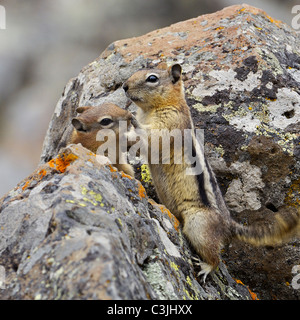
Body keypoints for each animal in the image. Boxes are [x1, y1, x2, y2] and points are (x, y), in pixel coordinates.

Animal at [122, 63, 300, 282]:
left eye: (152, 78)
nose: (124, 86)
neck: (154, 109)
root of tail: (228, 224)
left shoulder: (171, 123)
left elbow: (153, 138)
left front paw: (132, 123)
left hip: (198, 225)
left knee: (215, 257)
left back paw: (206, 267)